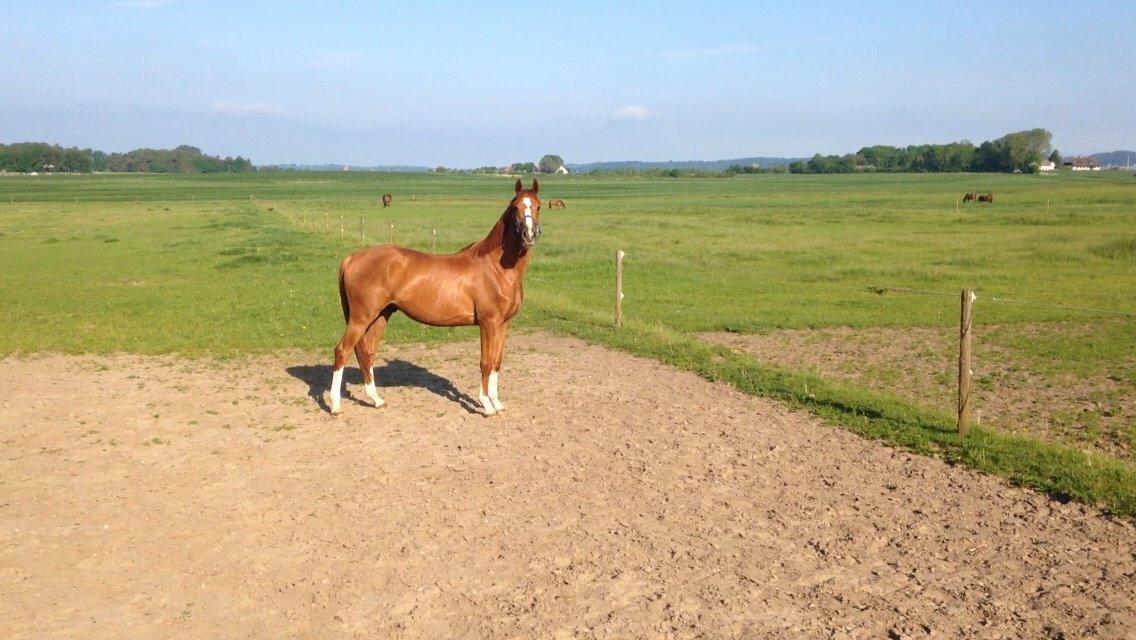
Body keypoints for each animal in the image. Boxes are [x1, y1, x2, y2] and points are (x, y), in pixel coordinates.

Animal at [329, 179, 545, 416]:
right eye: (515, 207)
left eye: (538, 206)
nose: (529, 235)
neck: (495, 268)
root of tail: (353, 257)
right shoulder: (488, 323)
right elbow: (486, 362)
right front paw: (486, 405)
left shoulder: (503, 324)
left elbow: (497, 361)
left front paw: (496, 402)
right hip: (361, 318)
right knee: (342, 351)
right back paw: (335, 406)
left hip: (380, 316)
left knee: (366, 351)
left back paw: (376, 399)